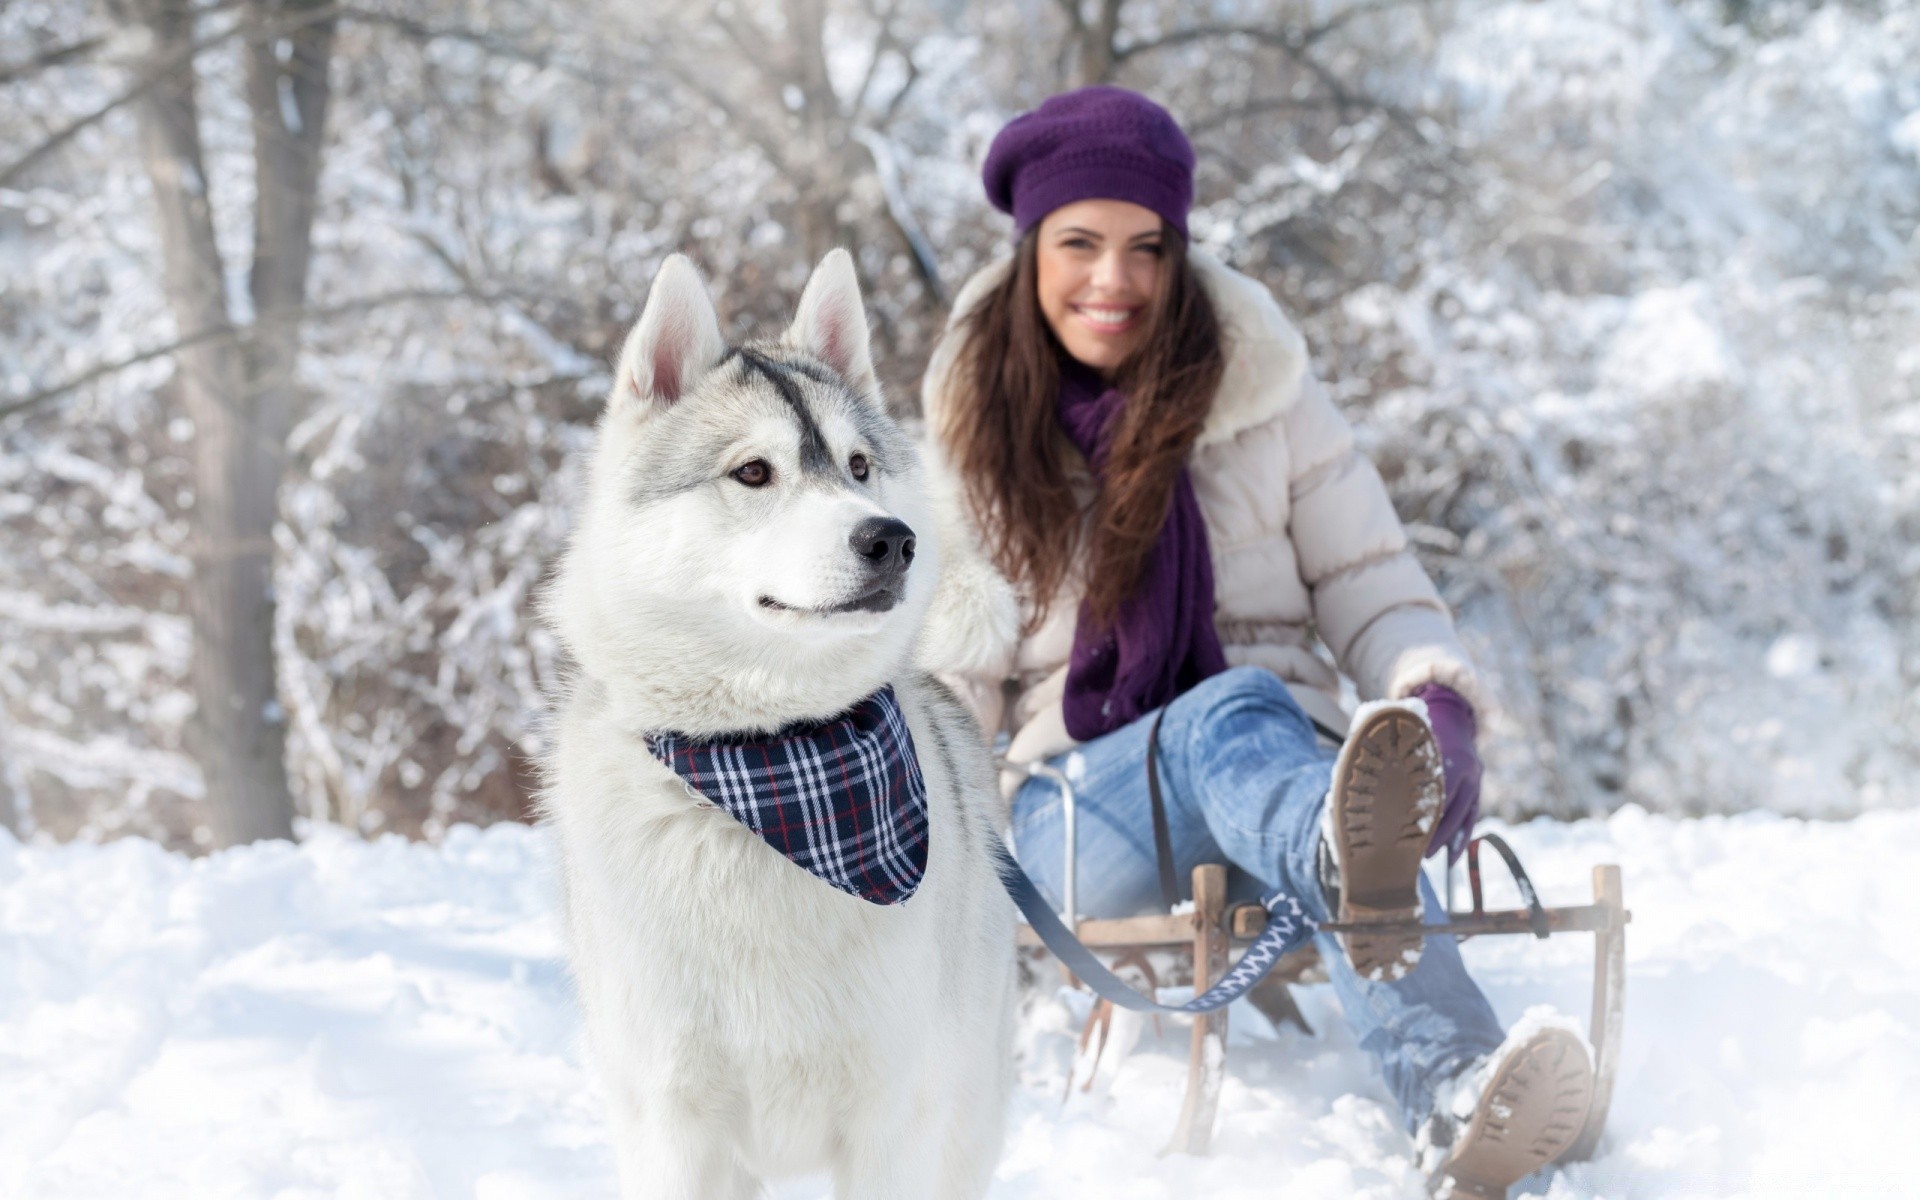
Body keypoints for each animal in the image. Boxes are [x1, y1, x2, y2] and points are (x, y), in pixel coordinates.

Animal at [541, 247, 1021, 1190]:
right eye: (754, 472)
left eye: (860, 466)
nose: (892, 539)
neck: (772, 760)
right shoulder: (675, 1128)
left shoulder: (891, 1123)